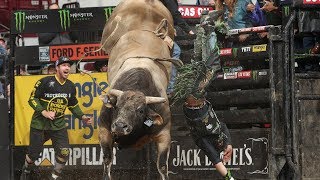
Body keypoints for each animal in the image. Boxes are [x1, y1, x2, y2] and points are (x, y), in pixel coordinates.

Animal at [99, 0, 175, 179]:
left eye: (141, 110)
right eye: (117, 106)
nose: (120, 126)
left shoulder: (164, 134)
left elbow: (162, 165)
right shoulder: (104, 128)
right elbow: (107, 159)